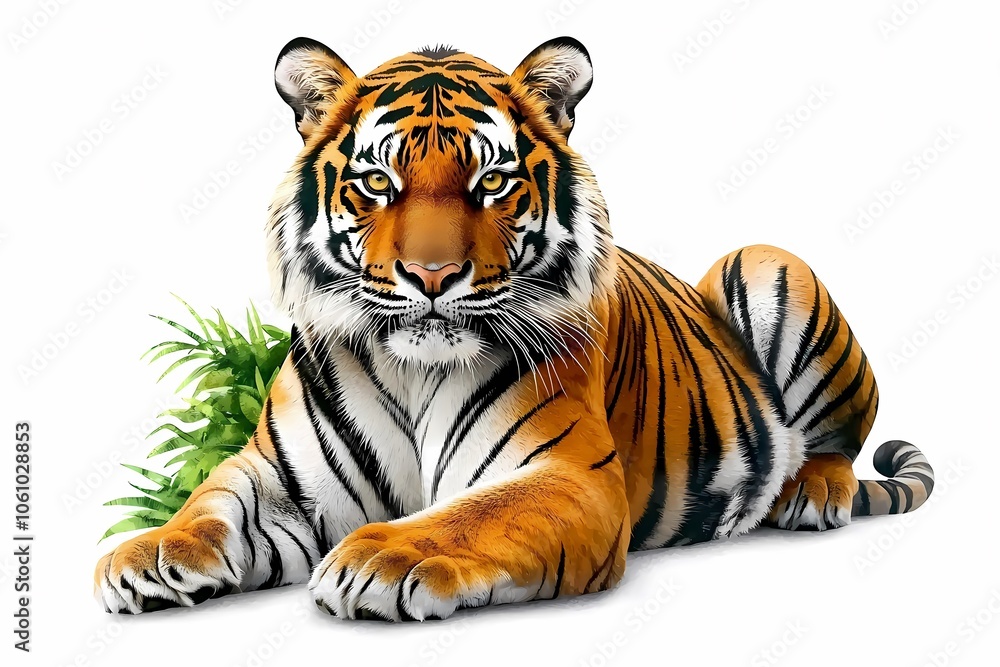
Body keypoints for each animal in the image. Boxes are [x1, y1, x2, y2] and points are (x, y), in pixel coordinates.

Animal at [95, 36, 935, 621]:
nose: (432, 275)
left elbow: (469, 516)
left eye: (491, 181)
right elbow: (210, 502)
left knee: (835, 438)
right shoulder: (280, 481)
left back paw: (808, 492)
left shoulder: (567, 476)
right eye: (378, 182)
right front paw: (147, 552)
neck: (412, 369)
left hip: (763, 261)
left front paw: (384, 556)